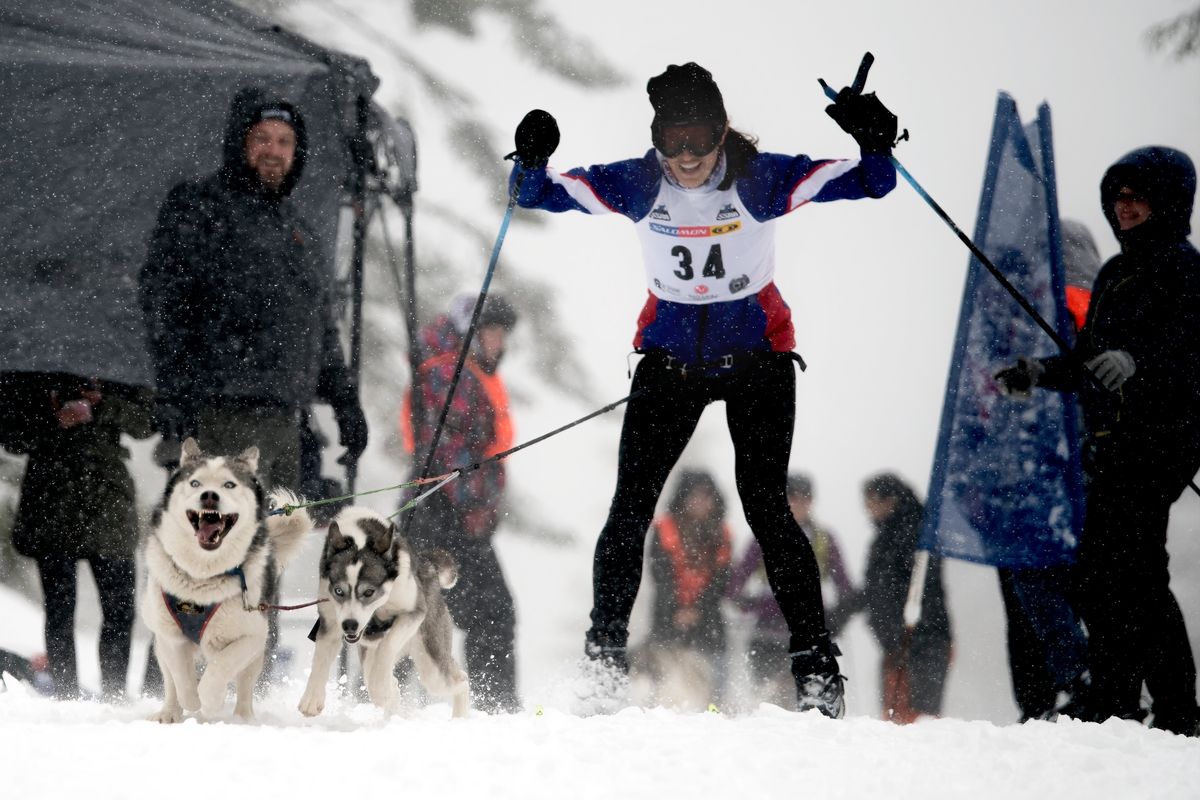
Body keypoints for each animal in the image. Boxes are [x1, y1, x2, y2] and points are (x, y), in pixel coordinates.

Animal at [138, 441, 312, 724]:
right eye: (195, 483)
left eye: (229, 484)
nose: (209, 495)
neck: (202, 577)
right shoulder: (169, 634)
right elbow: (181, 675)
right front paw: (192, 699)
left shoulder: (253, 634)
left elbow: (221, 667)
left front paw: (209, 701)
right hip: (160, 645)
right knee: (170, 680)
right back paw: (170, 712)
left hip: (256, 654)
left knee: (244, 685)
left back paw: (242, 718)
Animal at [298, 510, 468, 724]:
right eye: (339, 591)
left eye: (369, 592)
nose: (349, 625)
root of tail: (429, 567)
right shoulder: (330, 621)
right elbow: (320, 660)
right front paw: (311, 699)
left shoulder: (414, 612)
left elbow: (388, 645)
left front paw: (381, 688)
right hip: (370, 654)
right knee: (384, 680)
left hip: (431, 663)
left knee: (461, 680)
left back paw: (460, 717)